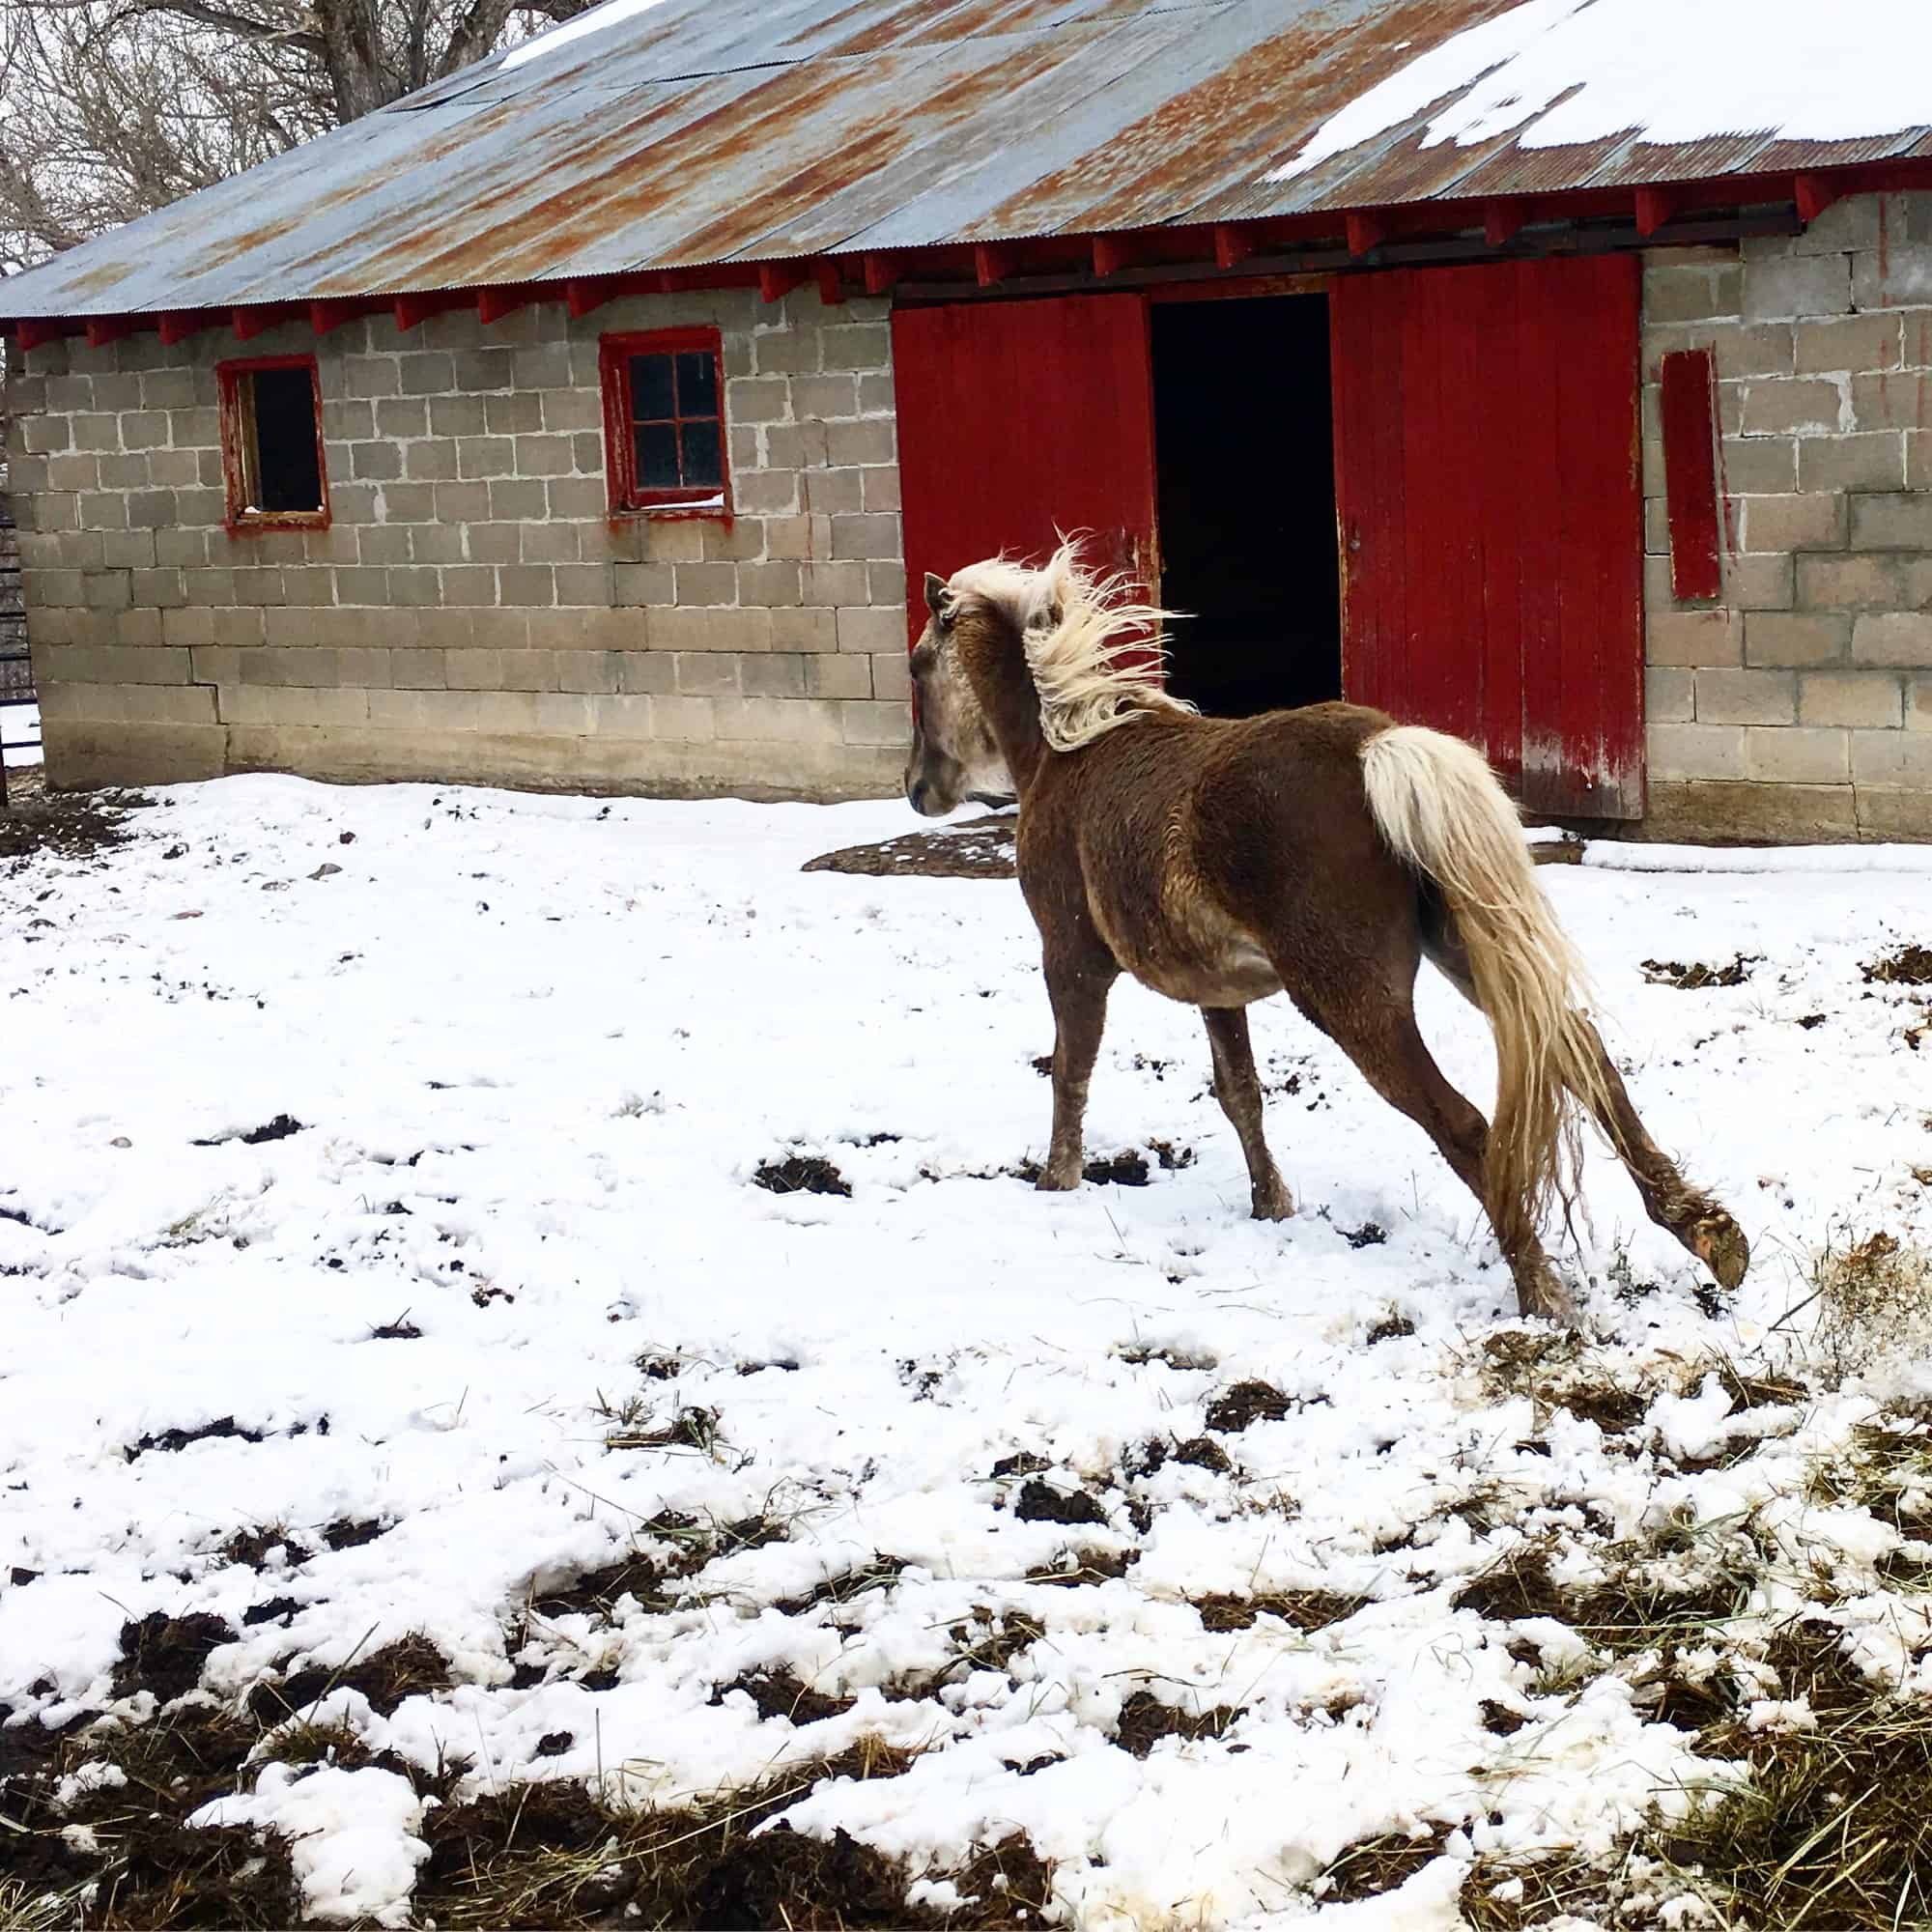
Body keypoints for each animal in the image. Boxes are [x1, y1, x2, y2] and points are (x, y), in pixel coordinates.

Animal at [901, 541, 1748, 1323]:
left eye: (917, 666)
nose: (917, 791)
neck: (1064, 754)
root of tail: (1380, 750)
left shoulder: (1071, 959)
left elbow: (1070, 1077)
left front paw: (1057, 1183)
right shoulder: (1218, 991)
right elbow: (1240, 1094)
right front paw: (1271, 1205)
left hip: (1352, 1002)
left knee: (1465, 1123)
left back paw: (1542, 1293)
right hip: (1463, 952)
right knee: (1583, 1053)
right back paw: (1707, 1233)